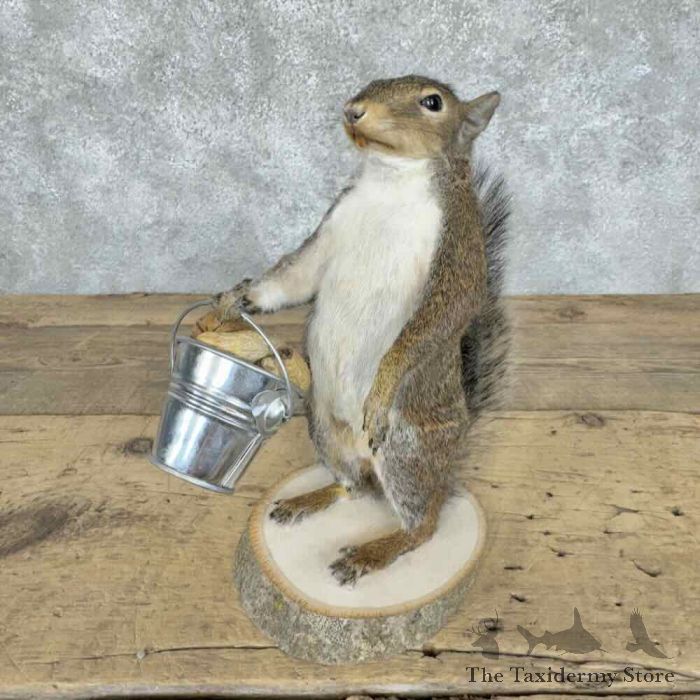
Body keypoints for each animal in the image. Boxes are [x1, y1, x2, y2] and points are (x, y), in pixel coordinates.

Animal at [216, 75, 510, 586]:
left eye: (433, 102)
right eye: (372, 83)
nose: (353, 110)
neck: (390, 180)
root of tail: (449, 461)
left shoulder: (457, 252)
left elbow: (436, 320)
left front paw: (382, 387)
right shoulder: (333, 225)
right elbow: (294, 278)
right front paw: (237, 298)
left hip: (405, 448)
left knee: (423, 526)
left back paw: (373, 552)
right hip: (324, 428)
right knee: (352, 487)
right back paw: (311, 499)